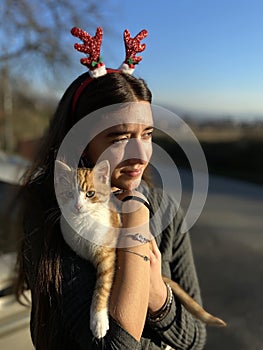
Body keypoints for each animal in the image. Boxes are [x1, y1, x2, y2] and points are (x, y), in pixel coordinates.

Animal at [54, 161, 227, 340]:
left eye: (90, 194)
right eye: (68, 194)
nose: (78, 206)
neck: (83, 222)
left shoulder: (108, 256)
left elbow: (102, 287)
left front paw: (98, 321)